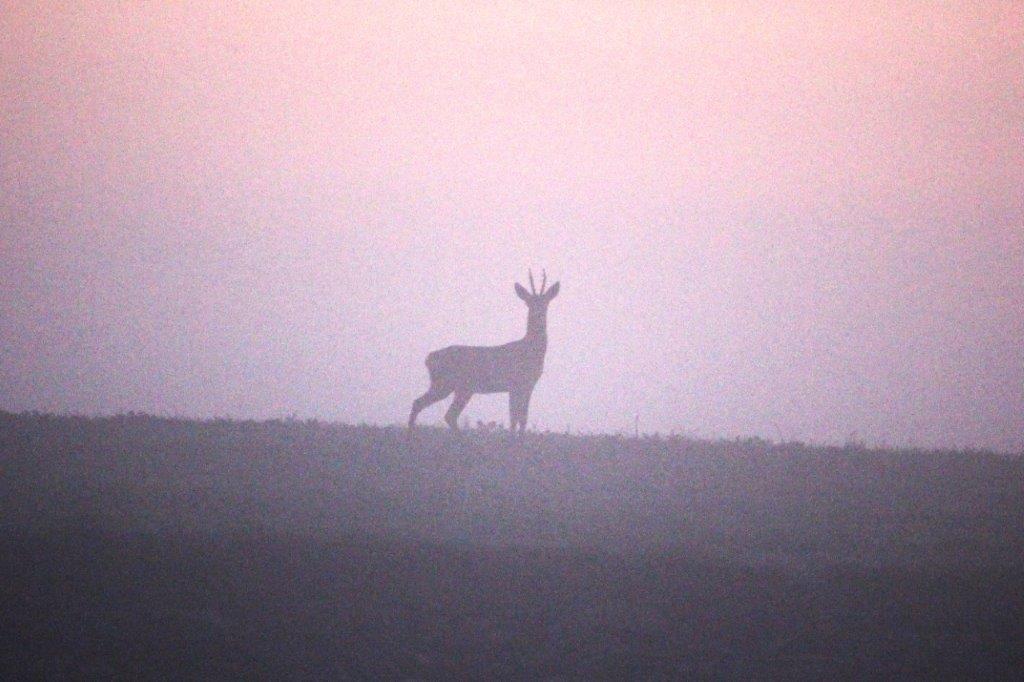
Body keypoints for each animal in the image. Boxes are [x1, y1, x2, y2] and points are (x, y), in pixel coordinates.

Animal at [407, 268, 561, 432]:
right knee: (429, 407)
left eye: (545, 302)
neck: (530, 351)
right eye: (528, 302)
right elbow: (514, 418)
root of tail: (429, 358)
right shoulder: (515, 383)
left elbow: (522, 419)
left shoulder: (528, 385)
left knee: (441, 412)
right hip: (447, 383)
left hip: (459, 388)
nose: (538, 313)